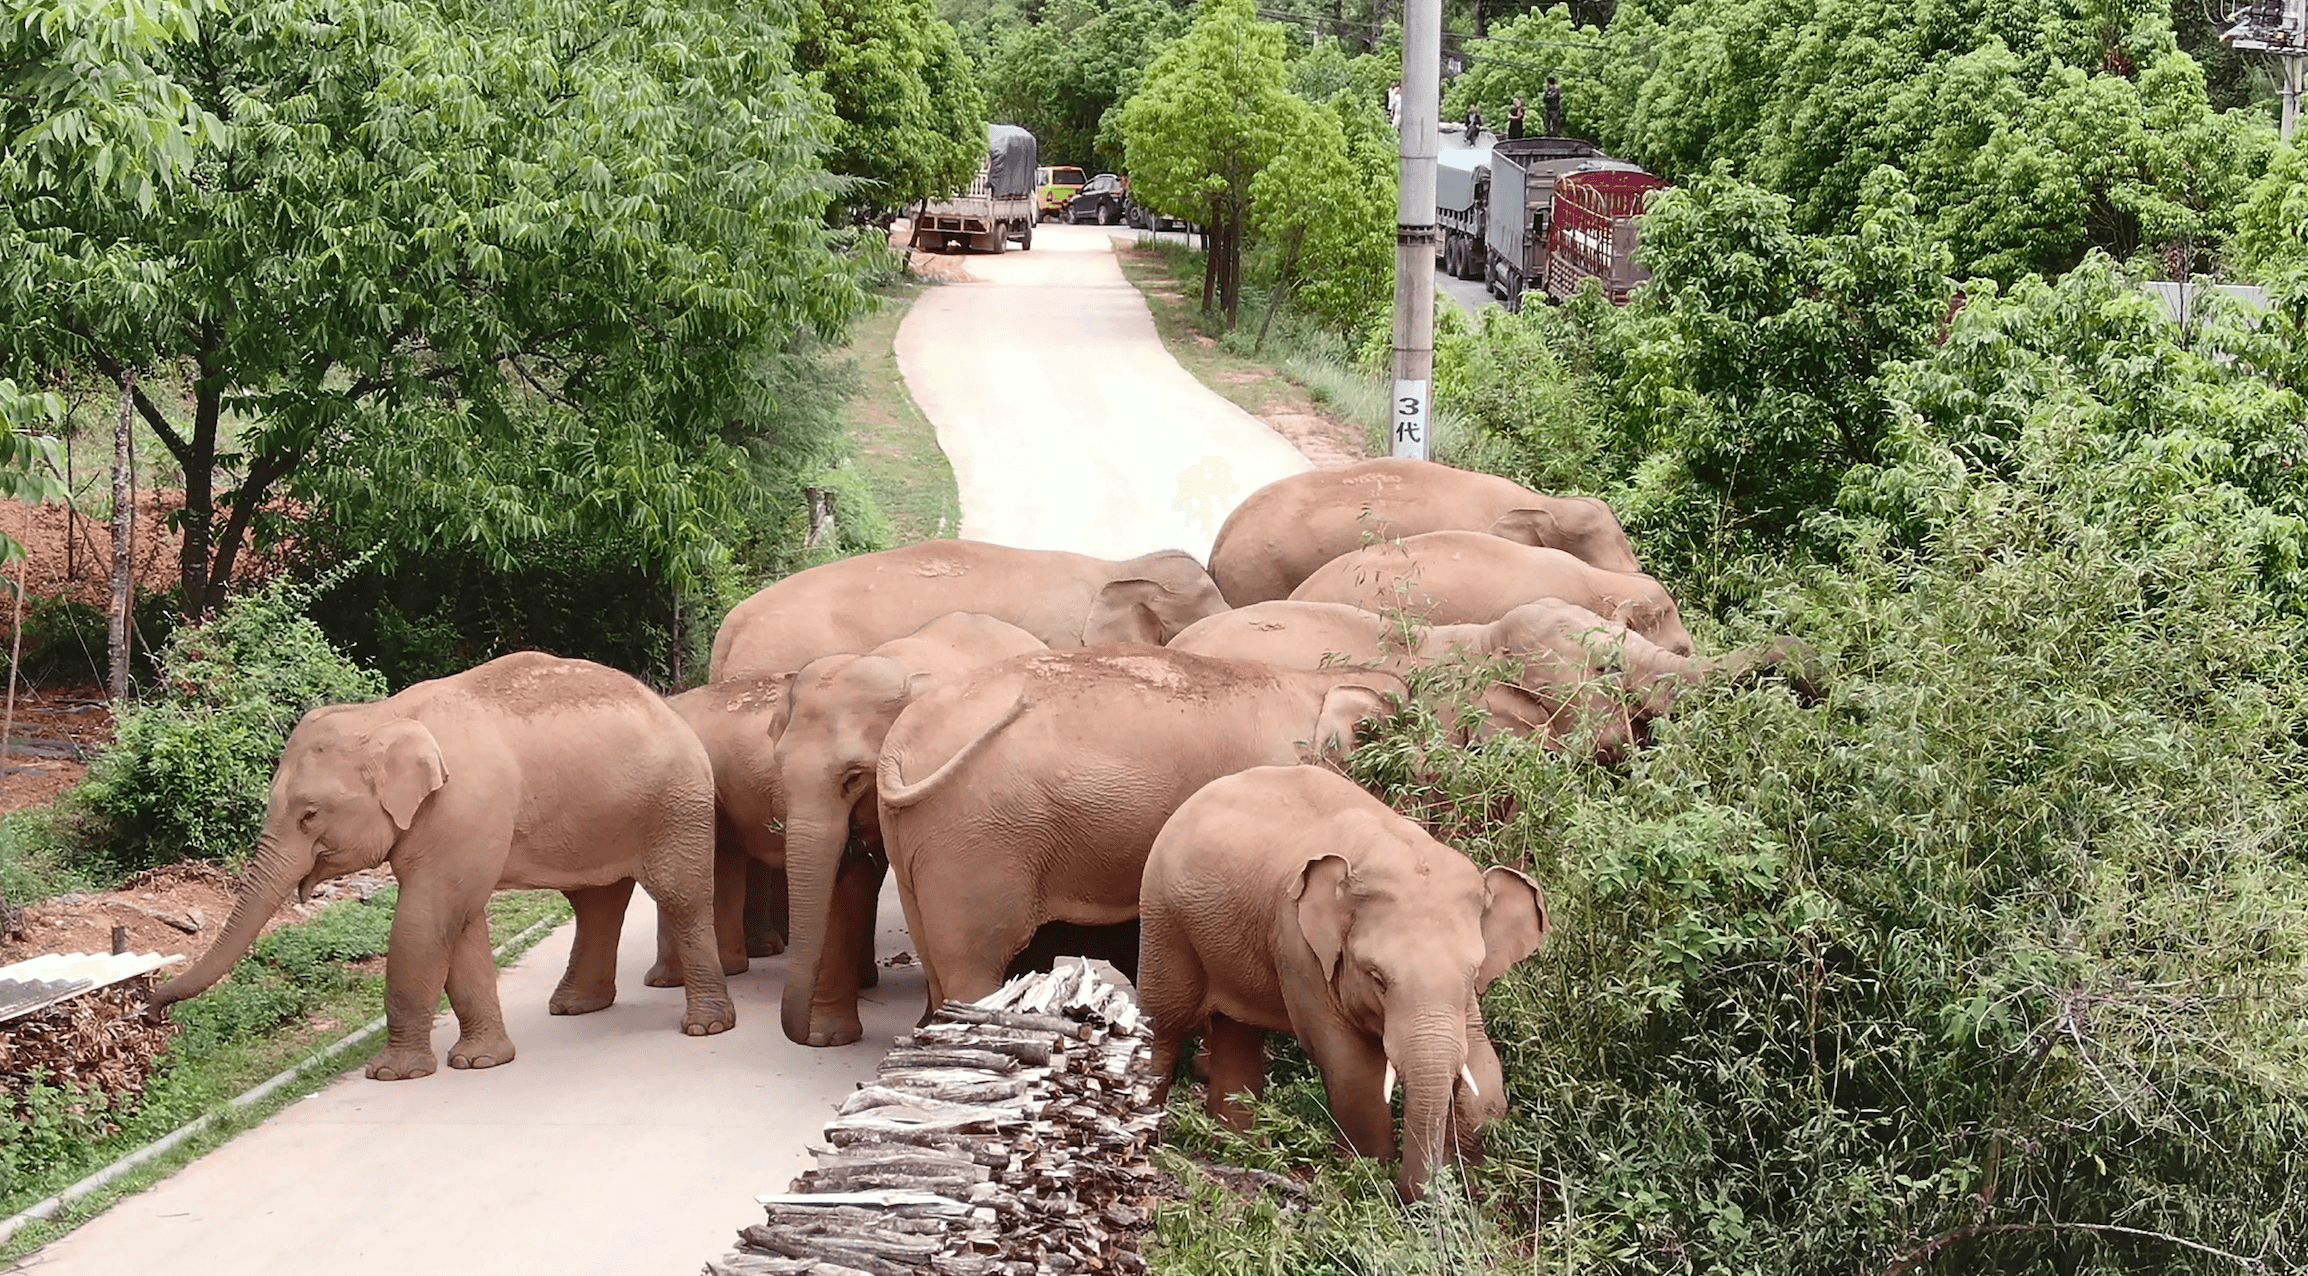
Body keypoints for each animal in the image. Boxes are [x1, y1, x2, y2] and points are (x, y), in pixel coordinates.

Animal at [154, 652, 732, 1081]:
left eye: (309, 814)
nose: (153, 1007)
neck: (385, 713)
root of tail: (669, 706)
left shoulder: (463, 808)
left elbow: (427, 917)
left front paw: (393, 1074)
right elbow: (461, 922)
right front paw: (481, 1062)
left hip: (676, 802)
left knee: (680, 897)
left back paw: (706, 1028)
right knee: (598, 902)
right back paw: (574, 1008)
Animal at [775, 611, 1048, 1047]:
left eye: (854, 777)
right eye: (778, 766)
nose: (798, 1035)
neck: (895, 662)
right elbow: (845, 881)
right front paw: (829, 1039)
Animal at [875, 645, 1407, 1023]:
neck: (1316, 683)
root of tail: (899, 743)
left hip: (916, 841)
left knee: (937, 959)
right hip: (979, 841)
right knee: (974, 967)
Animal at [1137, 764, 1548, 1201]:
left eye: (1473, 973)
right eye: (1377, 977)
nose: (1423, 1196)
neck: (1393, 847)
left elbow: (1483, 1068)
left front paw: (1469, 1173)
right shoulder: (1298, 947)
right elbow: (1354, 1068)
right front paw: (1368, 1175)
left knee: (1238, 1031)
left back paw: (1239, 1146)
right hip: (1164, 918)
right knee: (1165, 1023)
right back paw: (1150, 1140)